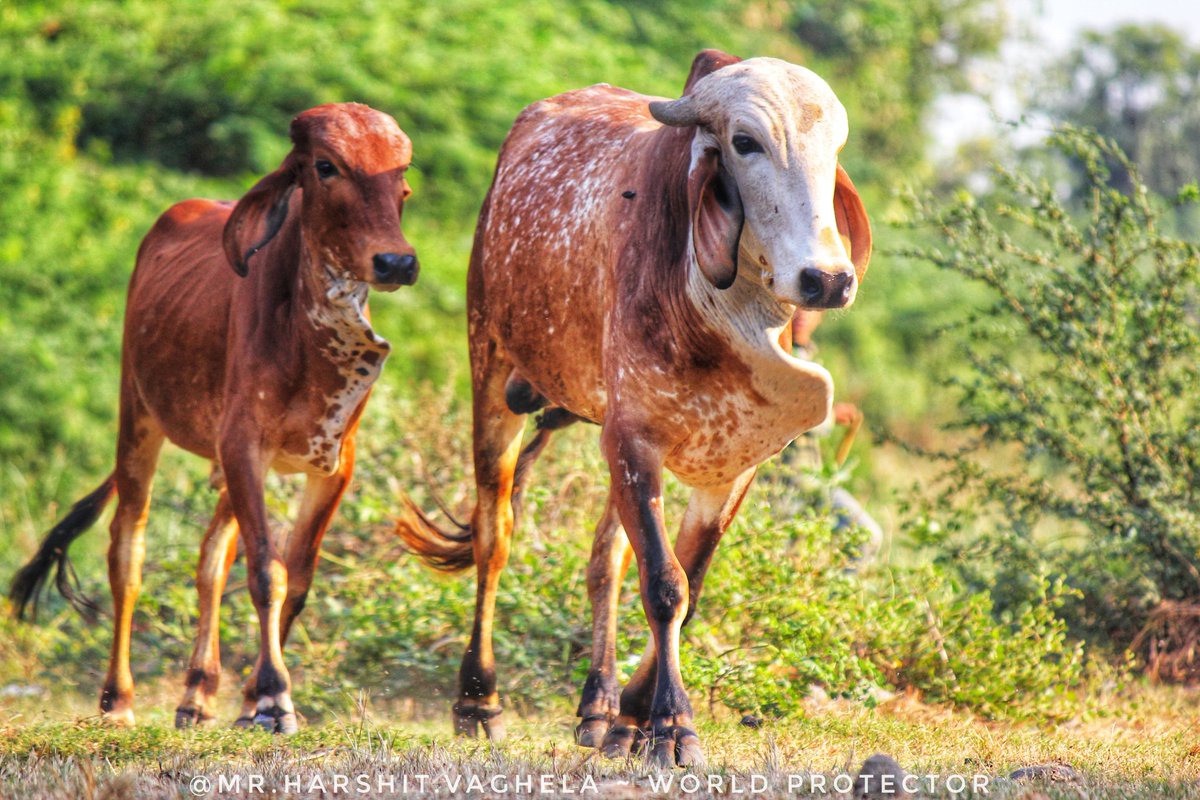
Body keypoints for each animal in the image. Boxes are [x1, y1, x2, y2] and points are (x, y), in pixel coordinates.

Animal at [10, 102, 418, 734]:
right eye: (326, 166)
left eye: (402, 173)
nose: (396, 260)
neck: (310, 338)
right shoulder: (243, 444)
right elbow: (267, 572)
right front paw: (273, 698)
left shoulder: (331, 466)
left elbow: (295, 578)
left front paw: (252, 699)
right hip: (139, 417)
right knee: (127, 551)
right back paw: (117, 699)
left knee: (210, 557)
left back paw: (197, 694)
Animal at [397, 49, 871, 767]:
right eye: (745, 143)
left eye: (834, 148)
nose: (829, 279)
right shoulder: (632, 439)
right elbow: (665, 585)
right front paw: (671, 725)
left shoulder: (733, 467)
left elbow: (685, 583)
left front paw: (634, 716)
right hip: (492, 369)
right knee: (493, 535)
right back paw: (478, 700)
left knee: (604, 561)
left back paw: (598, 707)